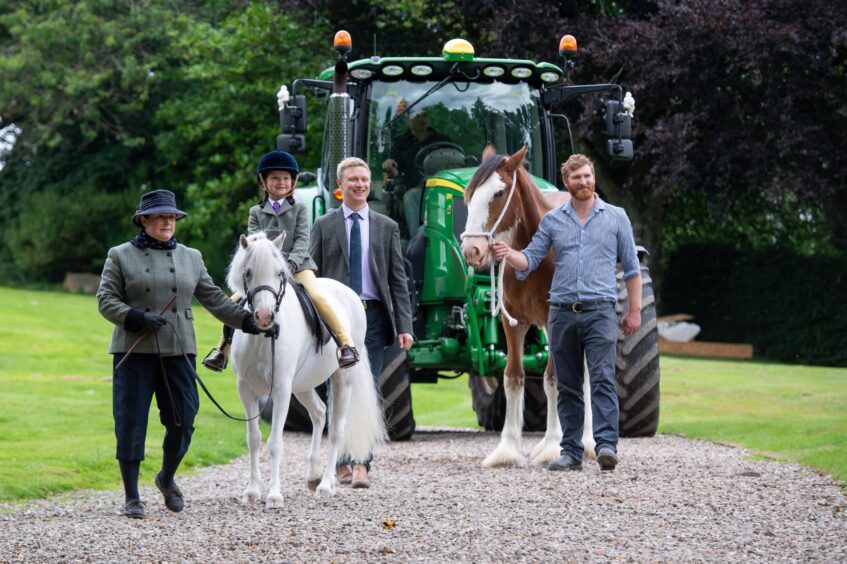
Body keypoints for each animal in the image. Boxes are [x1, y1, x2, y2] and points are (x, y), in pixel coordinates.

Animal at [225, 231, 384, 504]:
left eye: (280, 273)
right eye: (247, 273)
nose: (264, 317)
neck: (262, 337)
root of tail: (351, 293)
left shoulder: (280, 388)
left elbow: (275, 443)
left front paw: (274, 495)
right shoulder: (245, 388)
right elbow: (254, 439)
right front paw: (252, 491)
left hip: (342, 379)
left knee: (336, 430)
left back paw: (326, 485)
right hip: (301, 385)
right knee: (319, 413)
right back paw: (313, 476)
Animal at [460, 145, 592, 468]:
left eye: (498, 193)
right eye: (470, 194)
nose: (472, 250)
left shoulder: (557, 322)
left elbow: (554, 380)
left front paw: (554, 445)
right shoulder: (514, 323)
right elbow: (513, 377)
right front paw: (507, 449)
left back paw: (587, 441)